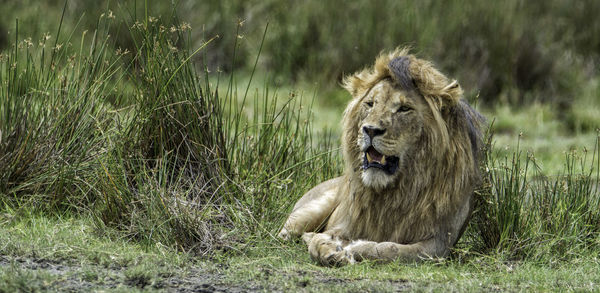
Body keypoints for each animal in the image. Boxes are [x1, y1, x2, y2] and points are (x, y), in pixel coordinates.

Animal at [278, 47, 486, 264]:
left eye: (404, 108)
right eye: (370, 104)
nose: (370, 130)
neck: (391, 192)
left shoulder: (437, 245)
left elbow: (390, 249)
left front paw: (355, 248)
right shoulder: (343, 224)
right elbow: (320, 240)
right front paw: (330, 250)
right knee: (284, 233)